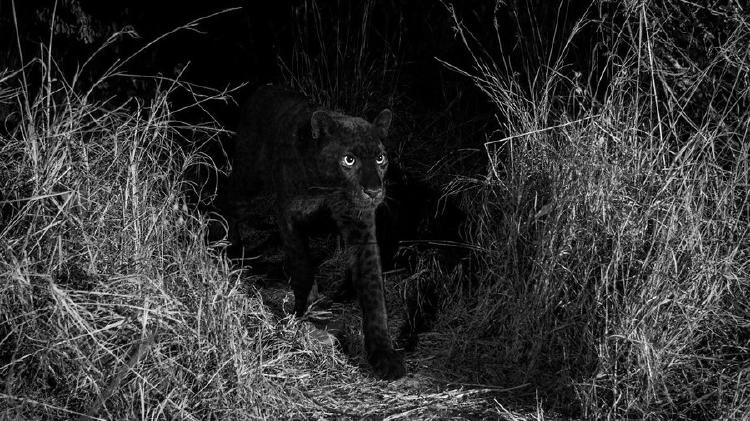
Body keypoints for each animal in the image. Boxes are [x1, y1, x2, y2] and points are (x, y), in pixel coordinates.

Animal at [223, 84, 406, 380]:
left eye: (380, 158)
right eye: (349, 160)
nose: (374, 191)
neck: (328, 187)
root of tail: (262, 88)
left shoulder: (360, 225)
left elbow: (373, 290)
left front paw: (384, 356)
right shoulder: (288, 214)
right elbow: (301, 264)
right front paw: (304, 313)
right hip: (249, 181)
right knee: (228, 196)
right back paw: (230, 247)